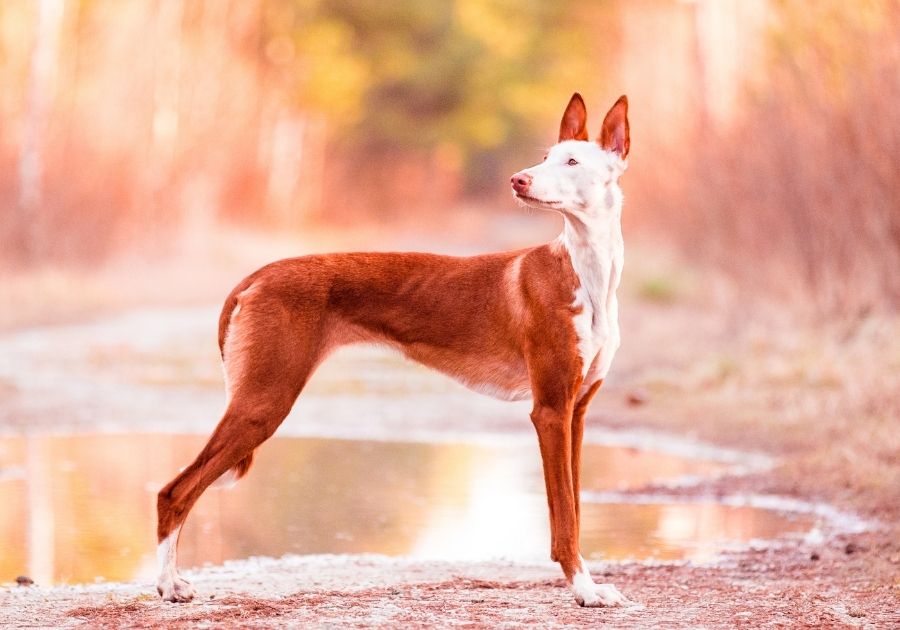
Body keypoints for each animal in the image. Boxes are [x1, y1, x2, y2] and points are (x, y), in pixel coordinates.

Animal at [156, 92, 632, 608]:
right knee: (174, 491)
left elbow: (576, 510)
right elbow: (564, 518)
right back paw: (167, 584)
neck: (585, 274)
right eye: (545, 157)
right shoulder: (549, 411)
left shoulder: (575, 411)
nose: (518, 180)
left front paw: (586, 582)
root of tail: (257, 275)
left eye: (571, 161)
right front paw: (584, 589)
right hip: (263, 402)